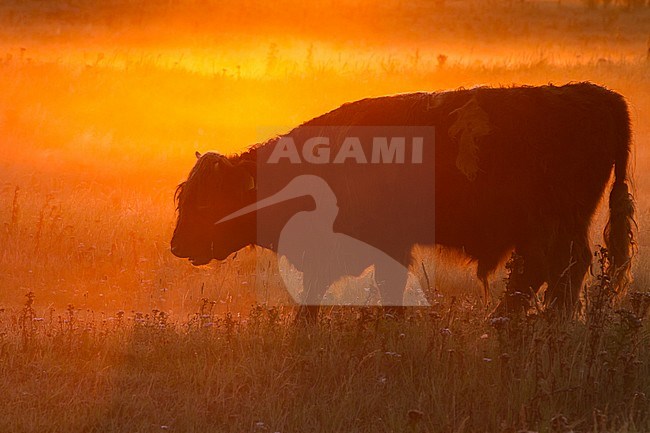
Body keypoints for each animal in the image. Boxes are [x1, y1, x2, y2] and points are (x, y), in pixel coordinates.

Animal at [171, 82, 632, 318]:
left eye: (208, 201)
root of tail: (599, 95)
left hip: (555, 227)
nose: (177, 245)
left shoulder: (385, 248)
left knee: (559, 272)